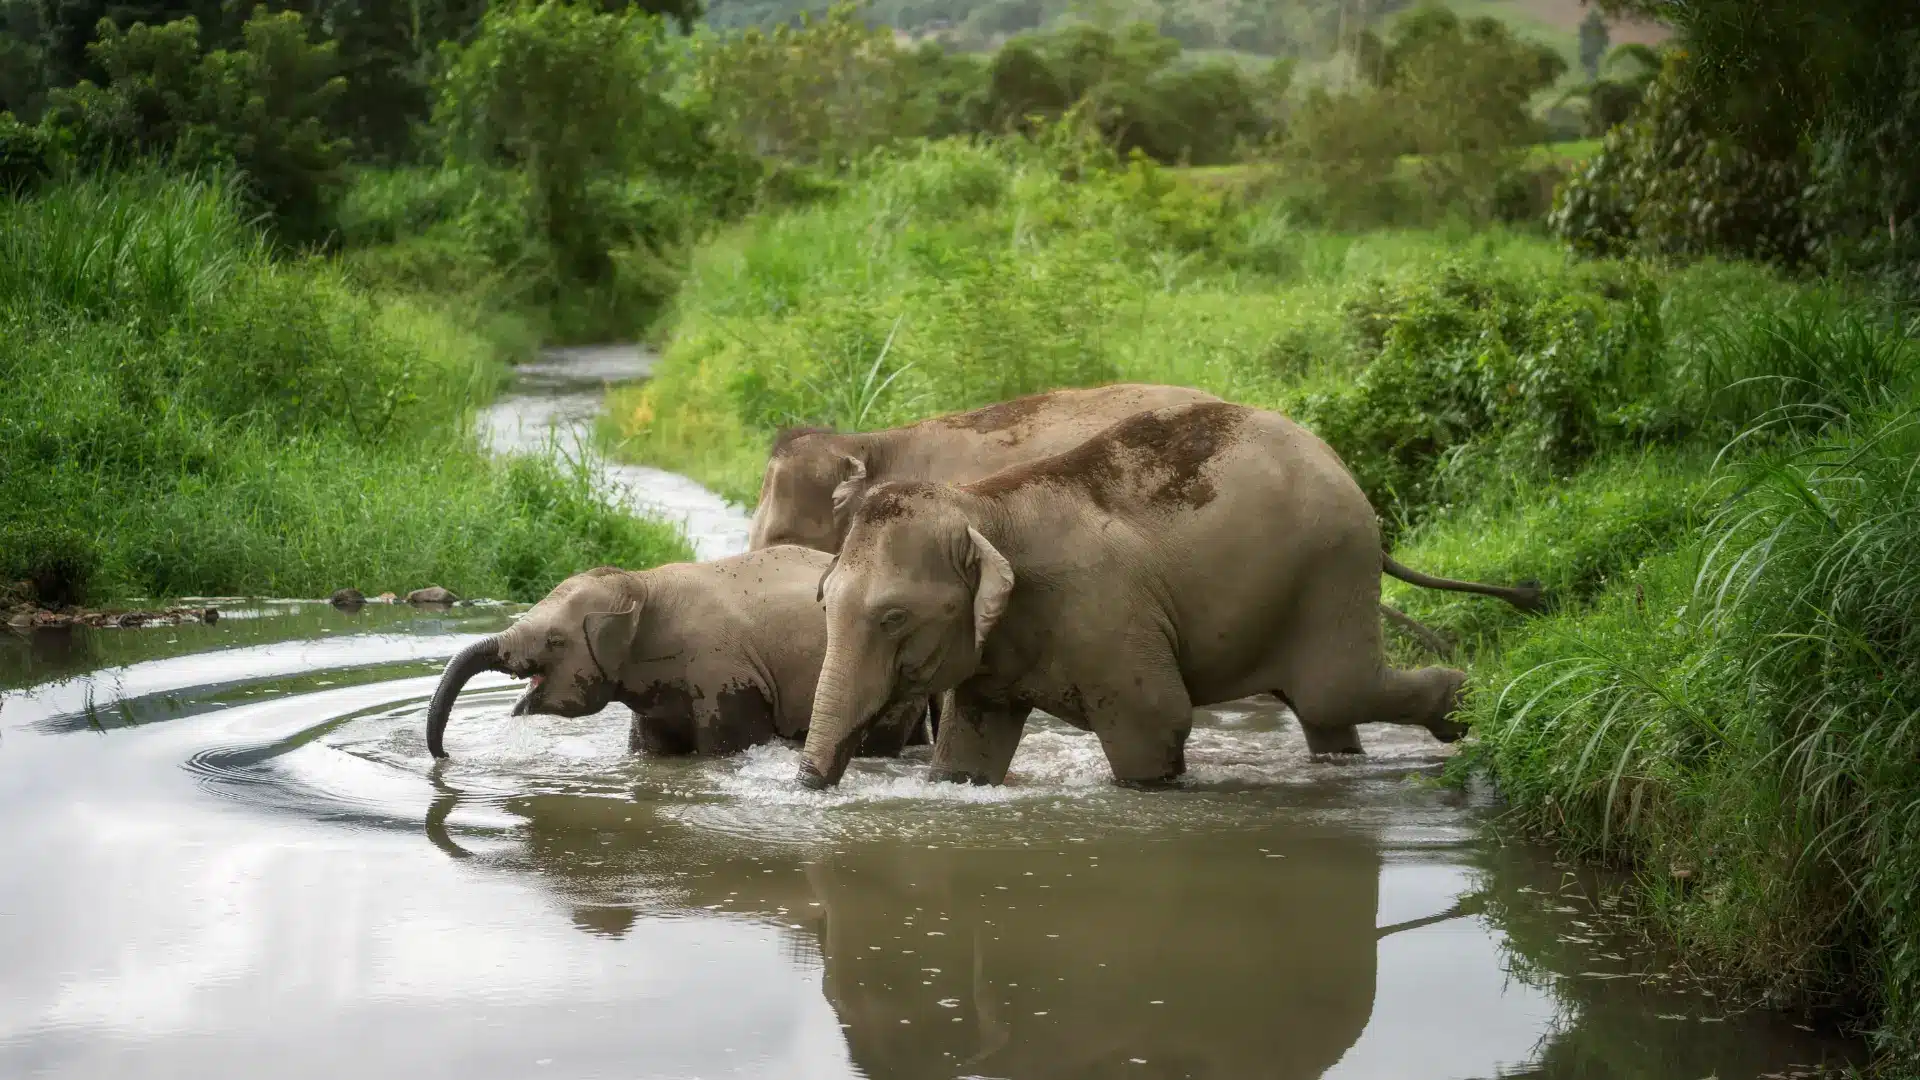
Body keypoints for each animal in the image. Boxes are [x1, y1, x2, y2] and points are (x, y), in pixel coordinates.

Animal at [796, 400, 1543, 788]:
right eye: (823, 602)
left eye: (894, 617)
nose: (807, 783)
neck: (984, 505)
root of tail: (1345, 472)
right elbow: (969, 750)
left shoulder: (1106, 617)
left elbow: (1158, 719)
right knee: (1324, 709)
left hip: (1333, 571)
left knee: (1336, 690)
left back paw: (1463, 708)